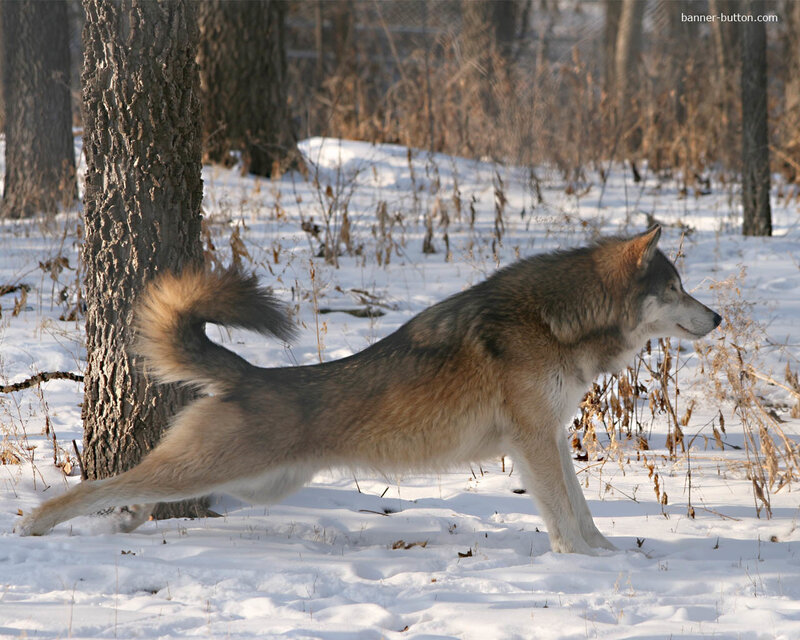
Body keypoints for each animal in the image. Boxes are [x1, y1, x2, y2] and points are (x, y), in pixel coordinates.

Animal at [16, 225, 721, 554]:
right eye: (677, 288)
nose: (716, 318)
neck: (558, 321)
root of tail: (249, 373)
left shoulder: (546, 437)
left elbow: (583, 511)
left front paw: (609, 556)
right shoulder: (533, 443)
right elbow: (564, 516)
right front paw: (581, 562)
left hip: (254, 482)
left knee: (132, 490)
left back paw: (127, 520)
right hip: (215, 468)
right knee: (92, 487)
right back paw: (34, 528)